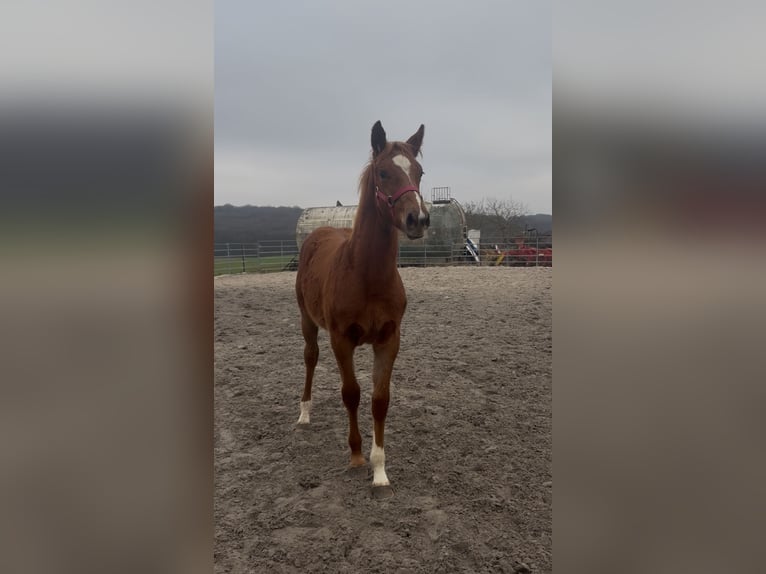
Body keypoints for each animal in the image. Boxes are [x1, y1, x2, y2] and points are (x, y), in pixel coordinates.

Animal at [295, 121, 430, 498]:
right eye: (383, 173)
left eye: (419, 171)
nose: (418, 219)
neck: (366, 275)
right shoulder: (342, 340)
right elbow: (351, 394)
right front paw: (356, 456)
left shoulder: (388, 340)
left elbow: (379, 399)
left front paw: (379, 469)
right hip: (307, 321)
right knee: (310, 358)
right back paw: (304, 413)